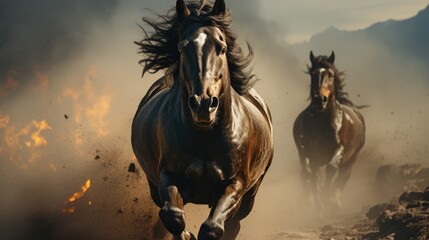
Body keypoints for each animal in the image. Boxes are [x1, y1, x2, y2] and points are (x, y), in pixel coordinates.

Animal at [130, 0, 272, 239]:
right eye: (182, 47)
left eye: (222, 48)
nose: (203, 104)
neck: (206, 138)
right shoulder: (168, 175)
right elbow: (173, 216)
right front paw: (187, 234)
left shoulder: (236, 184)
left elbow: (212, 228)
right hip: (153, 186)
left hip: (250, 196)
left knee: (235, 224)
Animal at [292, 51, 366, 214]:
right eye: (313, 74)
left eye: (330, 75)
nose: (320, 99)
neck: (321, 123)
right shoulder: (307, 153)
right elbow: (310, 174)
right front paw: (318, 204)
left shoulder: (339, 149)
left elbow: (331, 169)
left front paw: (326, 199)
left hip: (352, 157)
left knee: (343, 175)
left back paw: (334, 201)